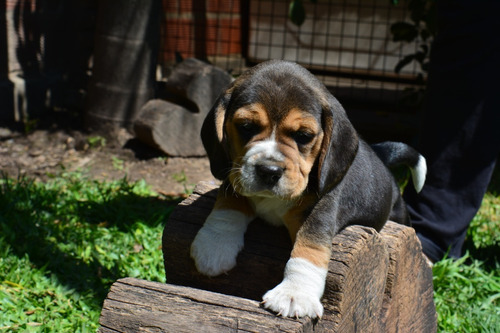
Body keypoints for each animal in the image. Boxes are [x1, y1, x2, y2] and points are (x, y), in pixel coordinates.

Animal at [189, 60, 424, 320]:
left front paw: (294, 294)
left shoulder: (321, 210)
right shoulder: (236, 177)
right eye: (246, 127)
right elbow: (228, 206)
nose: (269, 170)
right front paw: (214, 244)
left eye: (303, 136)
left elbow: (309, 249)